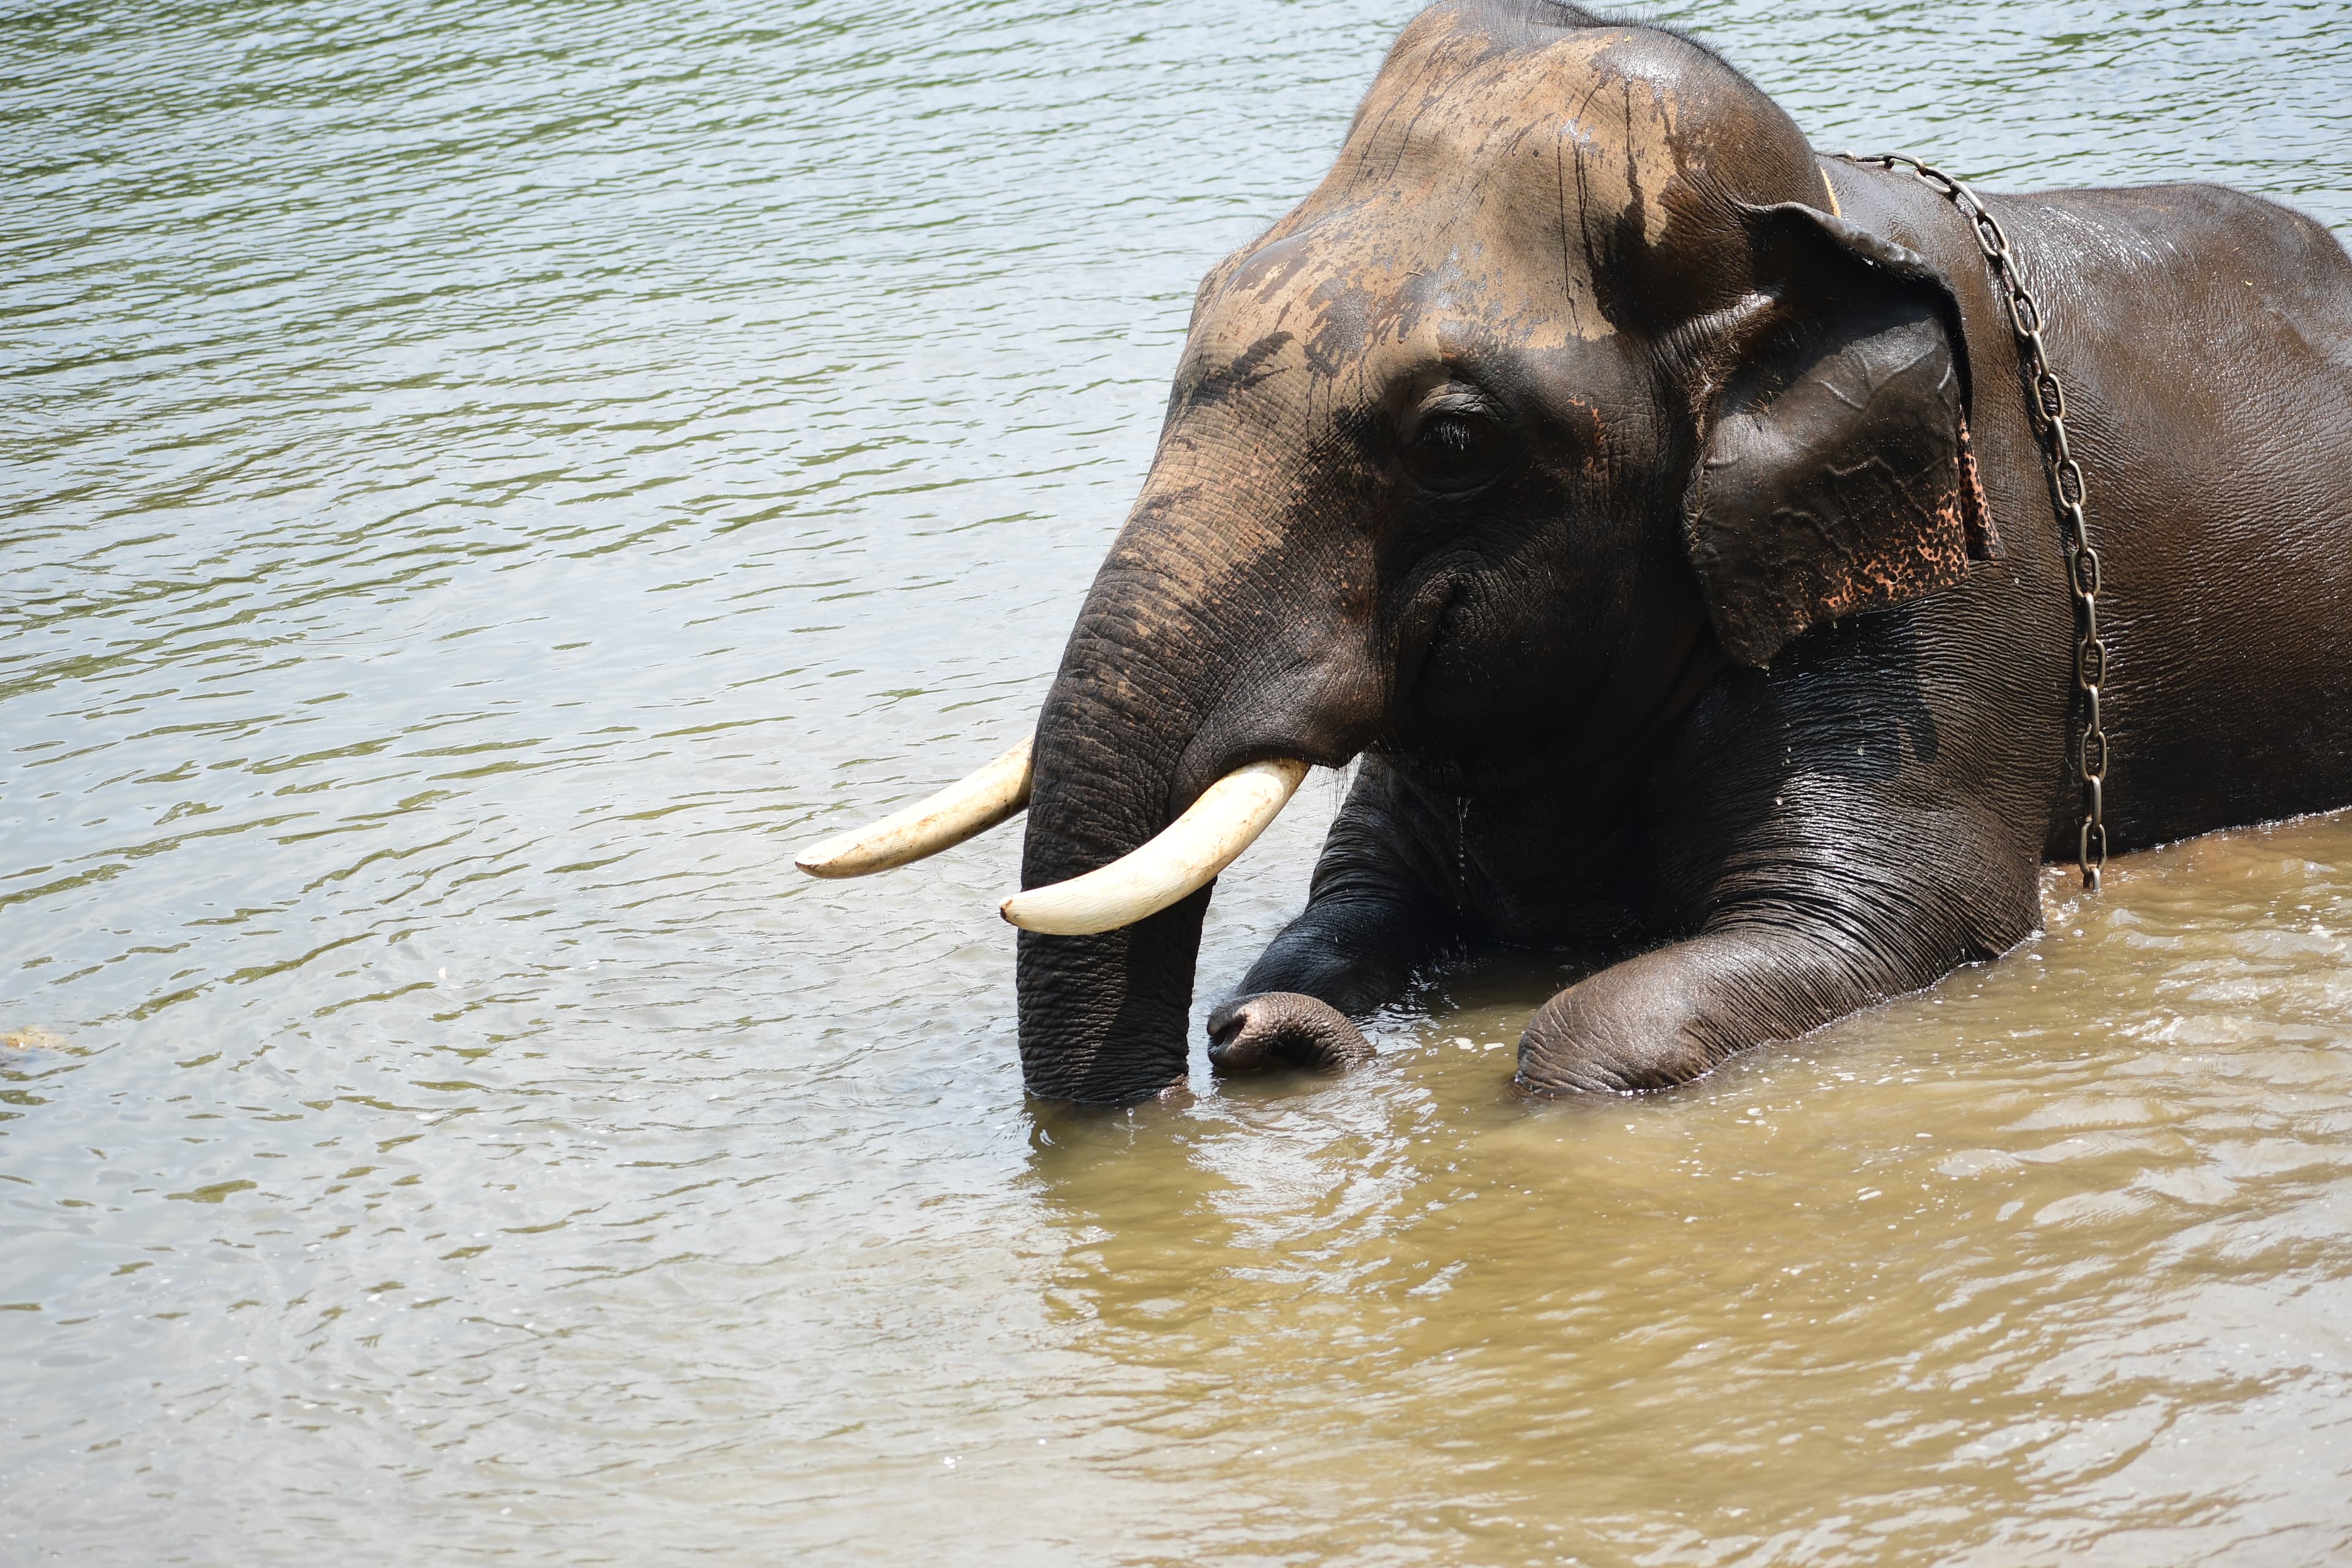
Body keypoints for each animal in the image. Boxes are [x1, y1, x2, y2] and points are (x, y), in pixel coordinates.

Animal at [800, 0, 2352, 1107]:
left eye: (1451, 439)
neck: (1801, 226)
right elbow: (1349, 901)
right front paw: (1291, 1025)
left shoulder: (1955, 600)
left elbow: (1879, 924)